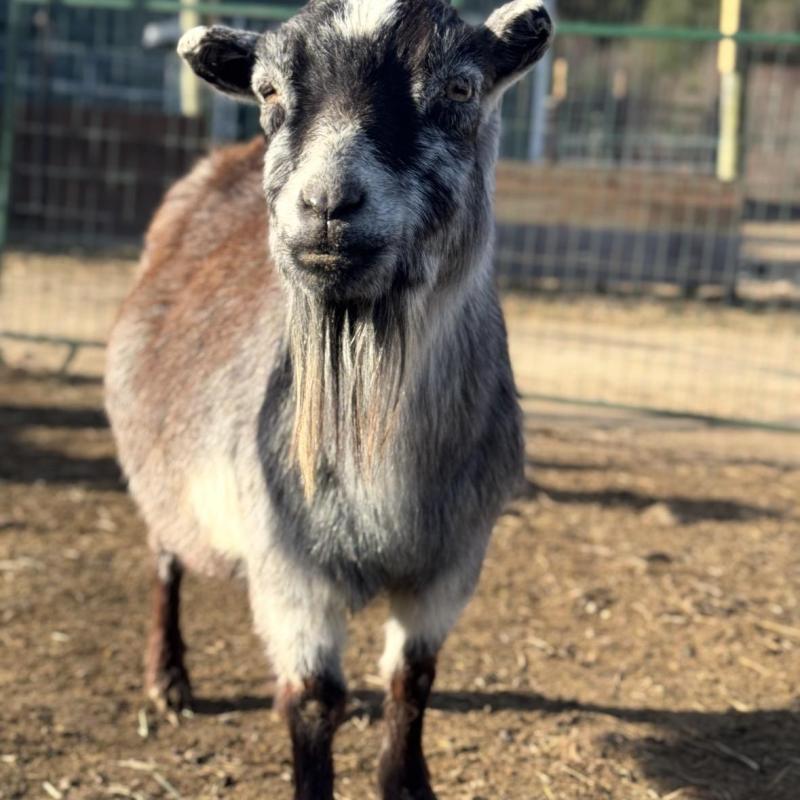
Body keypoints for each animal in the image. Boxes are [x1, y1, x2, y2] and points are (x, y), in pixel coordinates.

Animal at [105, 1, 552, 797]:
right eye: (268, 92)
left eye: (461, 87)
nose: (324, 204)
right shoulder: (292, 567)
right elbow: (315, 701)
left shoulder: (455, 561)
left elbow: (412, 679)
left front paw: (407, 782)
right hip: (159, 474)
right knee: (164, 561)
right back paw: (169, 680)